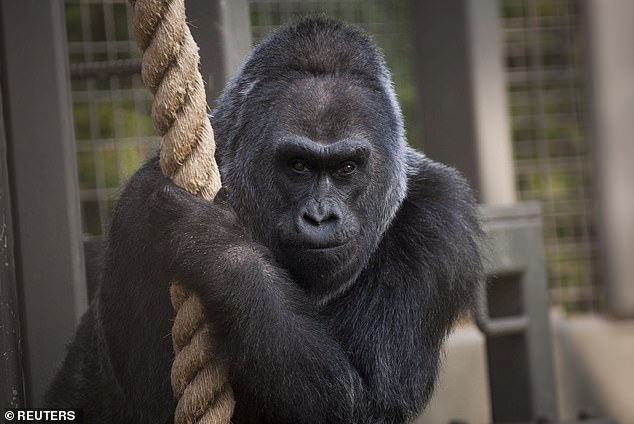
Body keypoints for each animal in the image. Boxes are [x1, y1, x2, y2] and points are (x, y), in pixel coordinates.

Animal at [47, 18, 482, 424]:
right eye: (298, 165)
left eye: (346, 168)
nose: (320, 216)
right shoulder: (137, 211)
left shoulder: (442, 219)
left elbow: (365, 403)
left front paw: (216, 247)